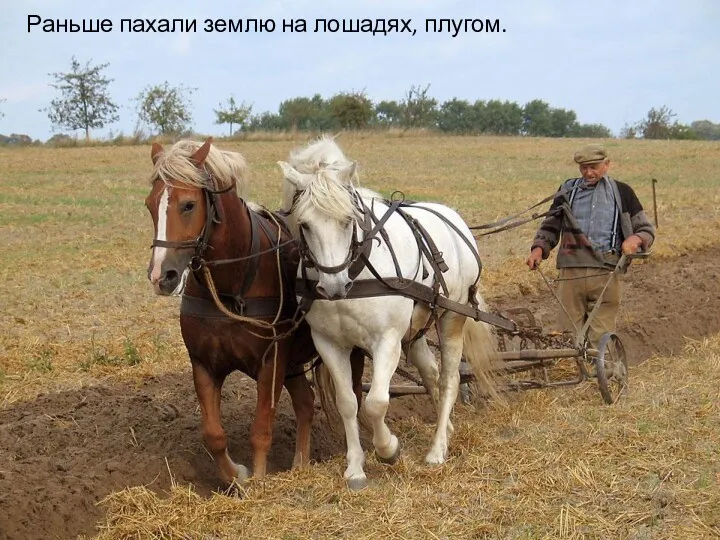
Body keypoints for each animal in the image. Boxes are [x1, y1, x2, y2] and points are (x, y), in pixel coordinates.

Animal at [145, 139, 336, 486]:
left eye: (188, 205)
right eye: (150, 204)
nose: (160, 276)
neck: (231, 285)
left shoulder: (272, 362)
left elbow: (261, 429)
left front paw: (258, 481)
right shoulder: (203, 364)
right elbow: (213, 435)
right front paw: (238, 477)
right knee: (305, 402)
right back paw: (300, 465)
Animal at [278, 136, 498, 490]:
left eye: (347, 220)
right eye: (304, 224)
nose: (334, 285)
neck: (356, 272)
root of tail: (455, 220)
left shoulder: (387, 340)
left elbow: (376, 403)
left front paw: (389, 449)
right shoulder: (329, 343)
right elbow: (348, 403)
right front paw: (355, 468)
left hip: (452, 318)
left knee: (449, 379)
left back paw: (437, 450)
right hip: (416, 330)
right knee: (431, 374)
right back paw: (446, 430)